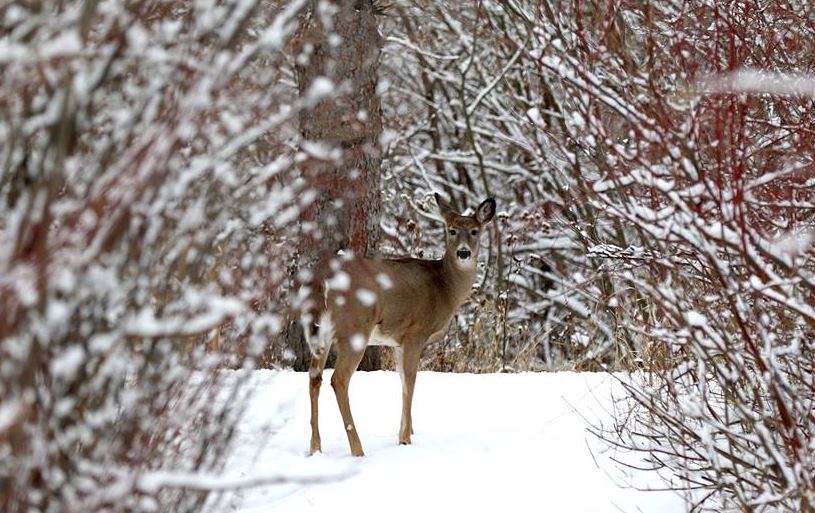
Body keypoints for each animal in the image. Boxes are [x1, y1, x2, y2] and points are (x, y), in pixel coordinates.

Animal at [302, 193, 498, 456]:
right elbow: (411, 381)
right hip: (355, 328)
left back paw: (315, 447)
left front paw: (409, 431)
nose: (464, 253)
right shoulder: (416, 331)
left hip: (320, 331)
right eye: (452, 230)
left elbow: (402, 379)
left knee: (314, 377)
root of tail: (322, 281)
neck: (444, 288)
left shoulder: (397, 340)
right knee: (339, 379)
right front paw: (404, 439)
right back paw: (357, 449)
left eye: (475, 231)